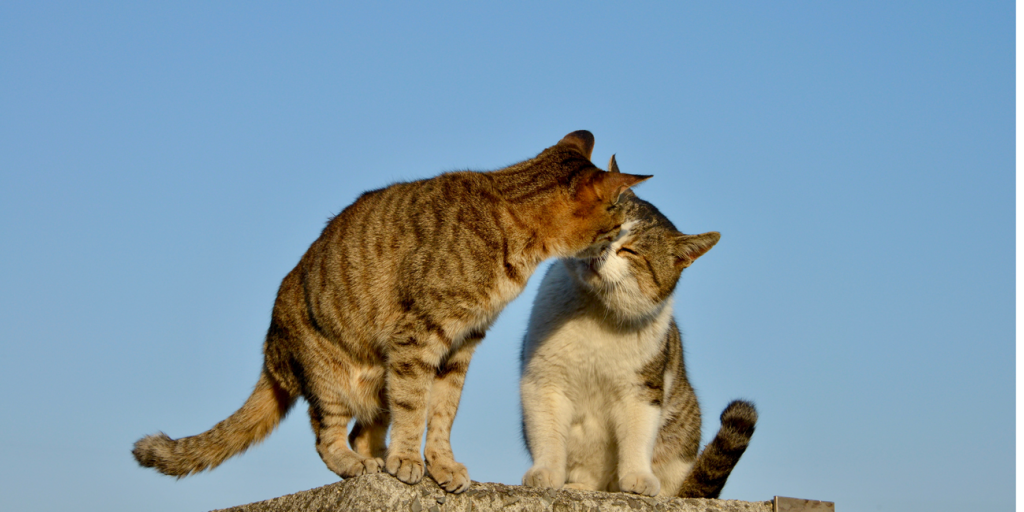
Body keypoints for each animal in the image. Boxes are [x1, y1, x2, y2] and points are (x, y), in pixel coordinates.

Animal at [134, 131, 647, 491]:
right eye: (618, 220)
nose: (622, 240)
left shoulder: (460, 347)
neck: (510, 222)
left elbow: (441, 415)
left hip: (375, 383)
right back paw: (361, 465)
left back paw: (376, 459)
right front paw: (408, 460)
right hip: (330, 379)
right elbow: (414, 408)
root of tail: (271, 350)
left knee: (362, 432)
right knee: (328, 438)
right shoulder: (417, 339)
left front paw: (439, 464)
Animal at [520, 156, 753, 499]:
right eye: (603, 228)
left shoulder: (642, 390)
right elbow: (547, 433)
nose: (601, 248)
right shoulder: (543, 379)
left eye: (629, 250)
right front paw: (546, 472)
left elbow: (636, 436)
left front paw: (637, 478)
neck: (598, 311)